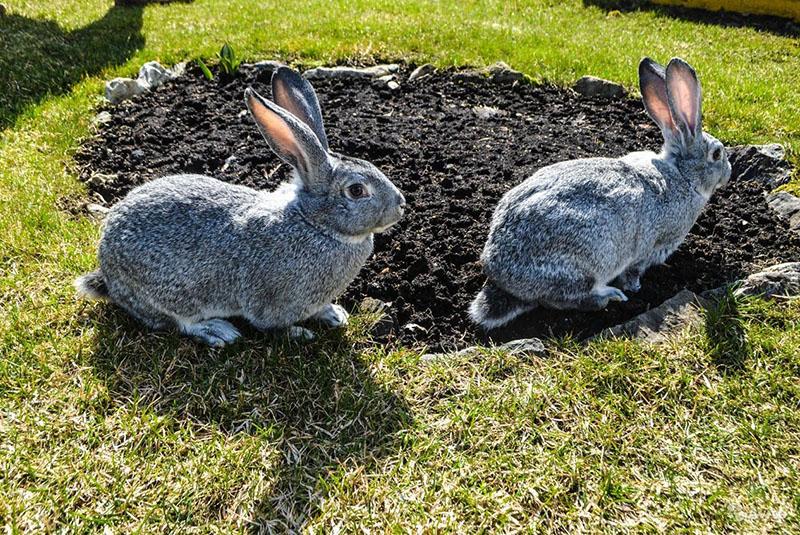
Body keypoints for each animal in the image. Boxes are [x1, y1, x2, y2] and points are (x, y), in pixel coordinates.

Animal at [76, 65, 406, 348]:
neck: (314, 224)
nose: (401, 205)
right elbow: (271, 325)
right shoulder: (274, 301)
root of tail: (107, 270)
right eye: (356, 190)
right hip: (172, 293)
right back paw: (218, 331)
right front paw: (299, 333)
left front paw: (334, 314)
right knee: (177, 321)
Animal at [468, 57, 732, 326]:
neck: (682, 175)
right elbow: (634, 271)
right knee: (566, 298)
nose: (729, 172)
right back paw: (609, 296)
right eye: (717, 154)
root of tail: (501, 276)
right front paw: (634, 288)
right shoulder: (648, 248)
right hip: (587, 263)